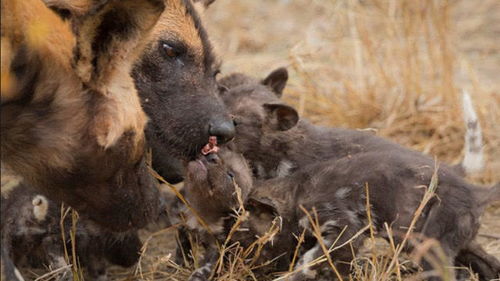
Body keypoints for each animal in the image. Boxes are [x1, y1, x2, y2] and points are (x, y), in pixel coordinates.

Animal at [1, 182, 143, 280]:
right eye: (126, 234)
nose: (138, 253)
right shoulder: (92, 246)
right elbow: (99, 269)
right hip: (64, 233)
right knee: (50, 244)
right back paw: (66, 273)